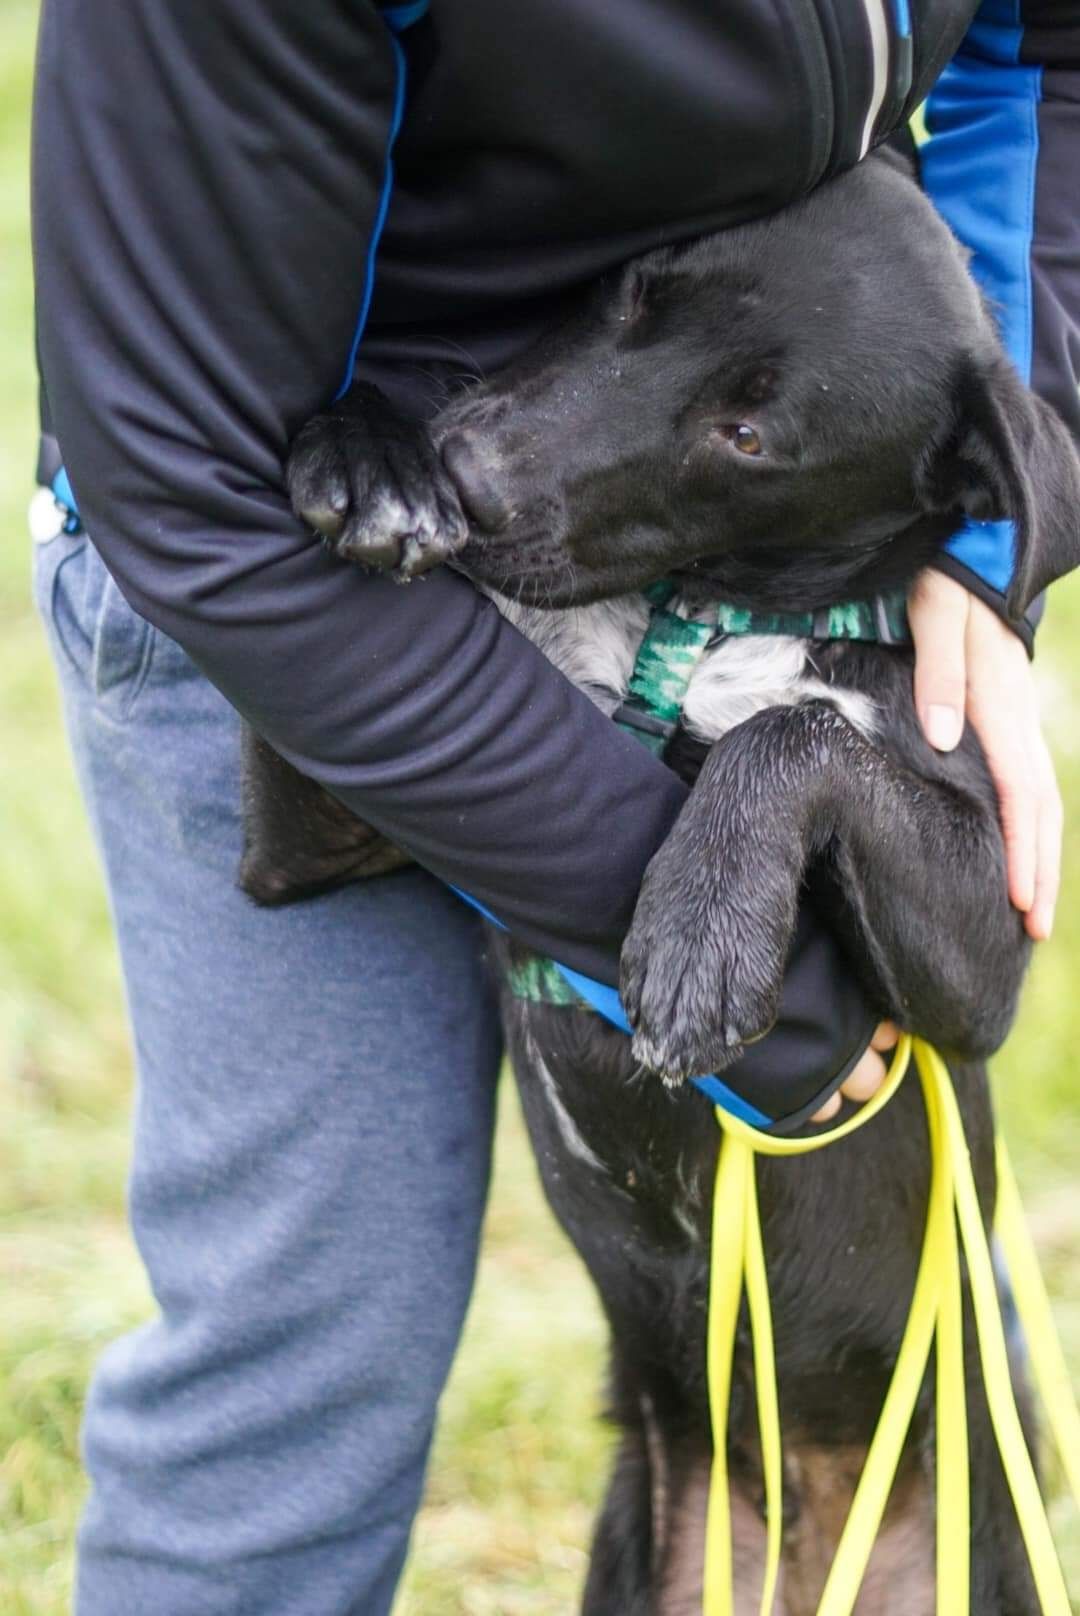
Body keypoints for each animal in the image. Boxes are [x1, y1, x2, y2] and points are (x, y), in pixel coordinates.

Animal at [240, 145, 1073, 1609]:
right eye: (635, 287)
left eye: (749, 437)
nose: (470, 473)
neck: (692, 625)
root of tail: (807, 1528)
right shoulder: (310, 836)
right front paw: (366, 450)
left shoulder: (986, 965)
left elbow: (786, 733)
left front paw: (702, 931)